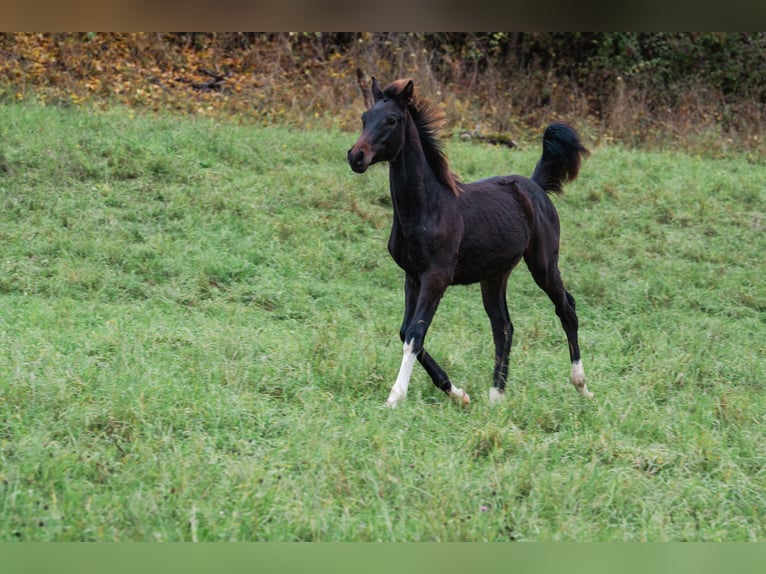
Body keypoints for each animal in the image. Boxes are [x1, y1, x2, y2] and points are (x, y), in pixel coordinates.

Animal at [347, 77, 593, 407]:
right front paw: (458, 393)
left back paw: (581, 385)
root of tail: (535, 186)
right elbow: (405, 332)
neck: (426, 207)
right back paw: (496, 396)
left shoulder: (436, 277)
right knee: (504, 327)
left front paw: (394, 398)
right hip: (494, 276)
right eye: (364, 118)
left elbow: (414, 335)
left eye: (392, 120)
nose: (356, 156)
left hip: (543, 264)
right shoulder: (412, 277)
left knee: (567, 308)